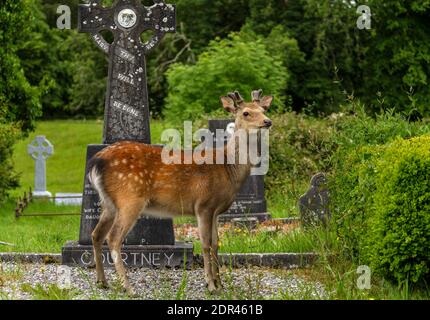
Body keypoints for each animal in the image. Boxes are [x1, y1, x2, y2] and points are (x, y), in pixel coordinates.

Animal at [89, 89, 274, 294]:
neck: (228, 168)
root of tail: (97, 161)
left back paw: (102, 281)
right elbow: (206, 244)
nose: (268, 121)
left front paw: (220, 283)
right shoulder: (203, 205)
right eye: (246, 113)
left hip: (109, 203)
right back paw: (128, 287)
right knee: (113, 238)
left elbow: (216, 243)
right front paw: (210, 285)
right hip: (129, 198)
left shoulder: (216, 210)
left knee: (96, 234)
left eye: (264, 109)